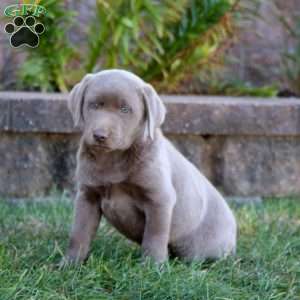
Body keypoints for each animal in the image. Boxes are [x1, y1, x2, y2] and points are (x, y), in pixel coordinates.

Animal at [63, 69, 237, 264]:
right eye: (94, 105)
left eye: (125, 109)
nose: (100, 135)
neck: (113, 157)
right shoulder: (87, 195)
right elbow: (79, 232)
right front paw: (70, 263)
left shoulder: (159, 199)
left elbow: (155, 235)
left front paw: (152, 265)